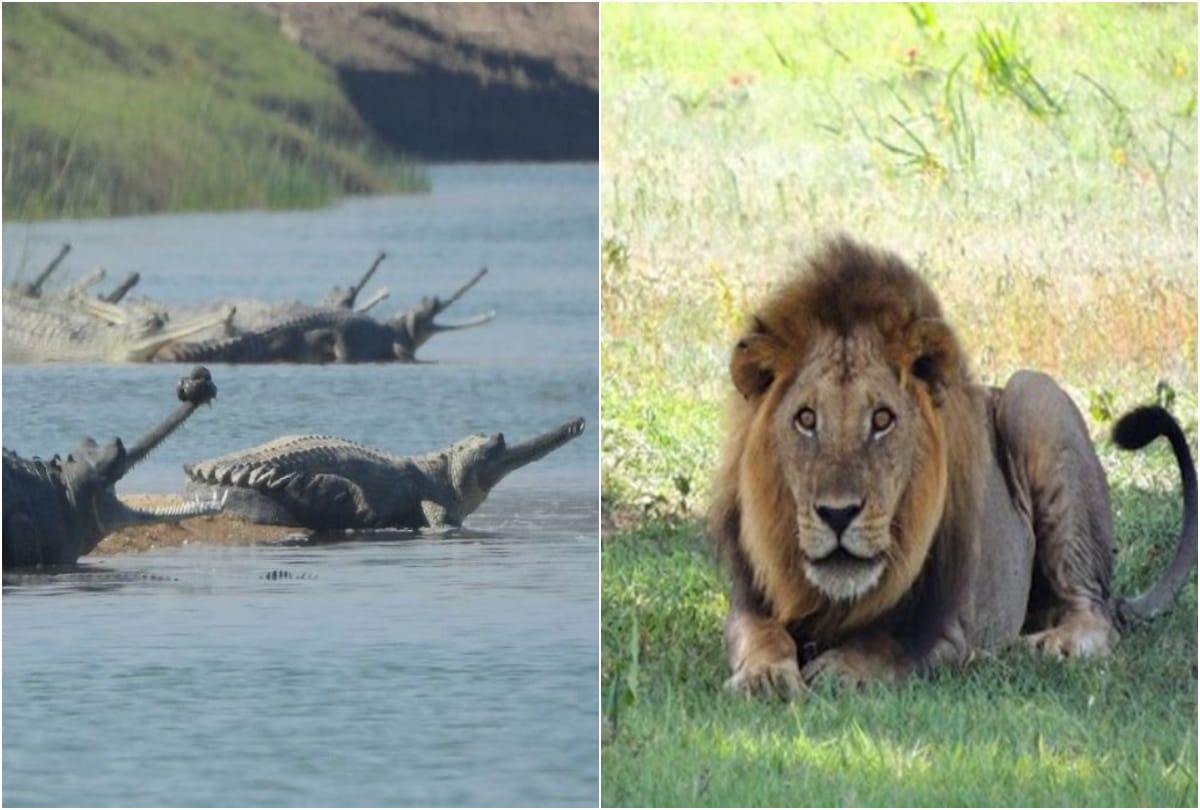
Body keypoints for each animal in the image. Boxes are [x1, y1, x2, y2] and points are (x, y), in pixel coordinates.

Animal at [711, 235, 1197, 693]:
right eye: (807, 419)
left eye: (882, 419)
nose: (837, 514)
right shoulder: (749, 602)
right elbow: (762, 635)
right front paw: (765, 677)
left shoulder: (951, 628)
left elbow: (888, 646)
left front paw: (840, 670)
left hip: (1033, 395)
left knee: (1095, 614)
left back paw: (1049, 645)